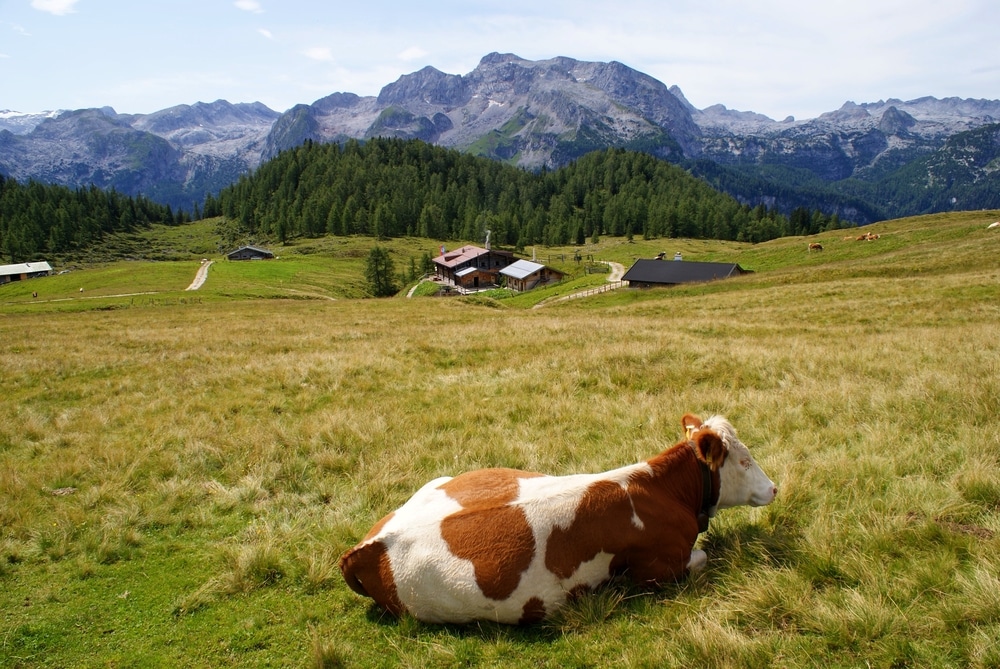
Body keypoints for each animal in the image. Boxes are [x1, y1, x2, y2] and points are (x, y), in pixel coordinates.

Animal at [340, 410, 776, 624]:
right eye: (744, 460)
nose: (774, 488)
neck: (659, 491)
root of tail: (365, 547)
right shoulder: (658, 569)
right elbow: (702, 556)